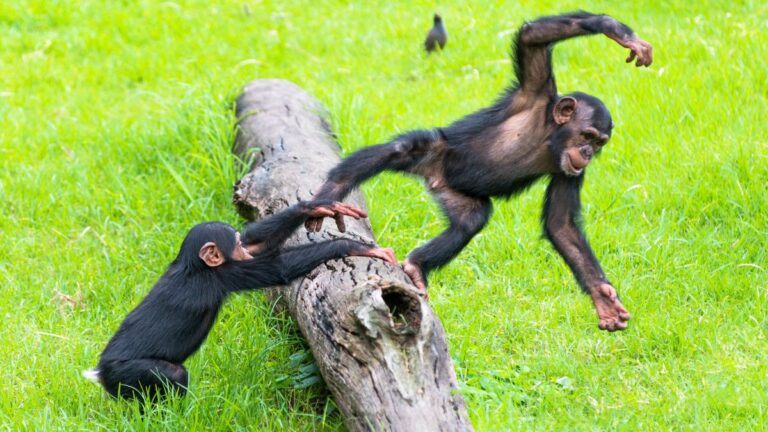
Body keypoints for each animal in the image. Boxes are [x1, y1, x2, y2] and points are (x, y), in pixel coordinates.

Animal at [84, 201, 396, 400]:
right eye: (233, 245)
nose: (241, 250)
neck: (194, 266)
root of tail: (99, 370)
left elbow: (258, 243)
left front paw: (316, 206)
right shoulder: (228, 274)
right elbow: (278, 267)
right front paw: (357, 247)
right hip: (129, 371)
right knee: (173, 375)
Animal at [305, 12, 653, 332]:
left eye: (599, 143)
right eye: (587, 136)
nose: (588, 153)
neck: (550, 135)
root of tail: (434, 177)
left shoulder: (571, 172)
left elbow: (562, 225)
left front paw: (602, 297)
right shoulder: (536, 91)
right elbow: (532, 36)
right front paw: (620, 33)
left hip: (456, 196)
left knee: (471, 220)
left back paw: (418, 266)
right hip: (434, 152)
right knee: (401, 149)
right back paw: (329, 193)